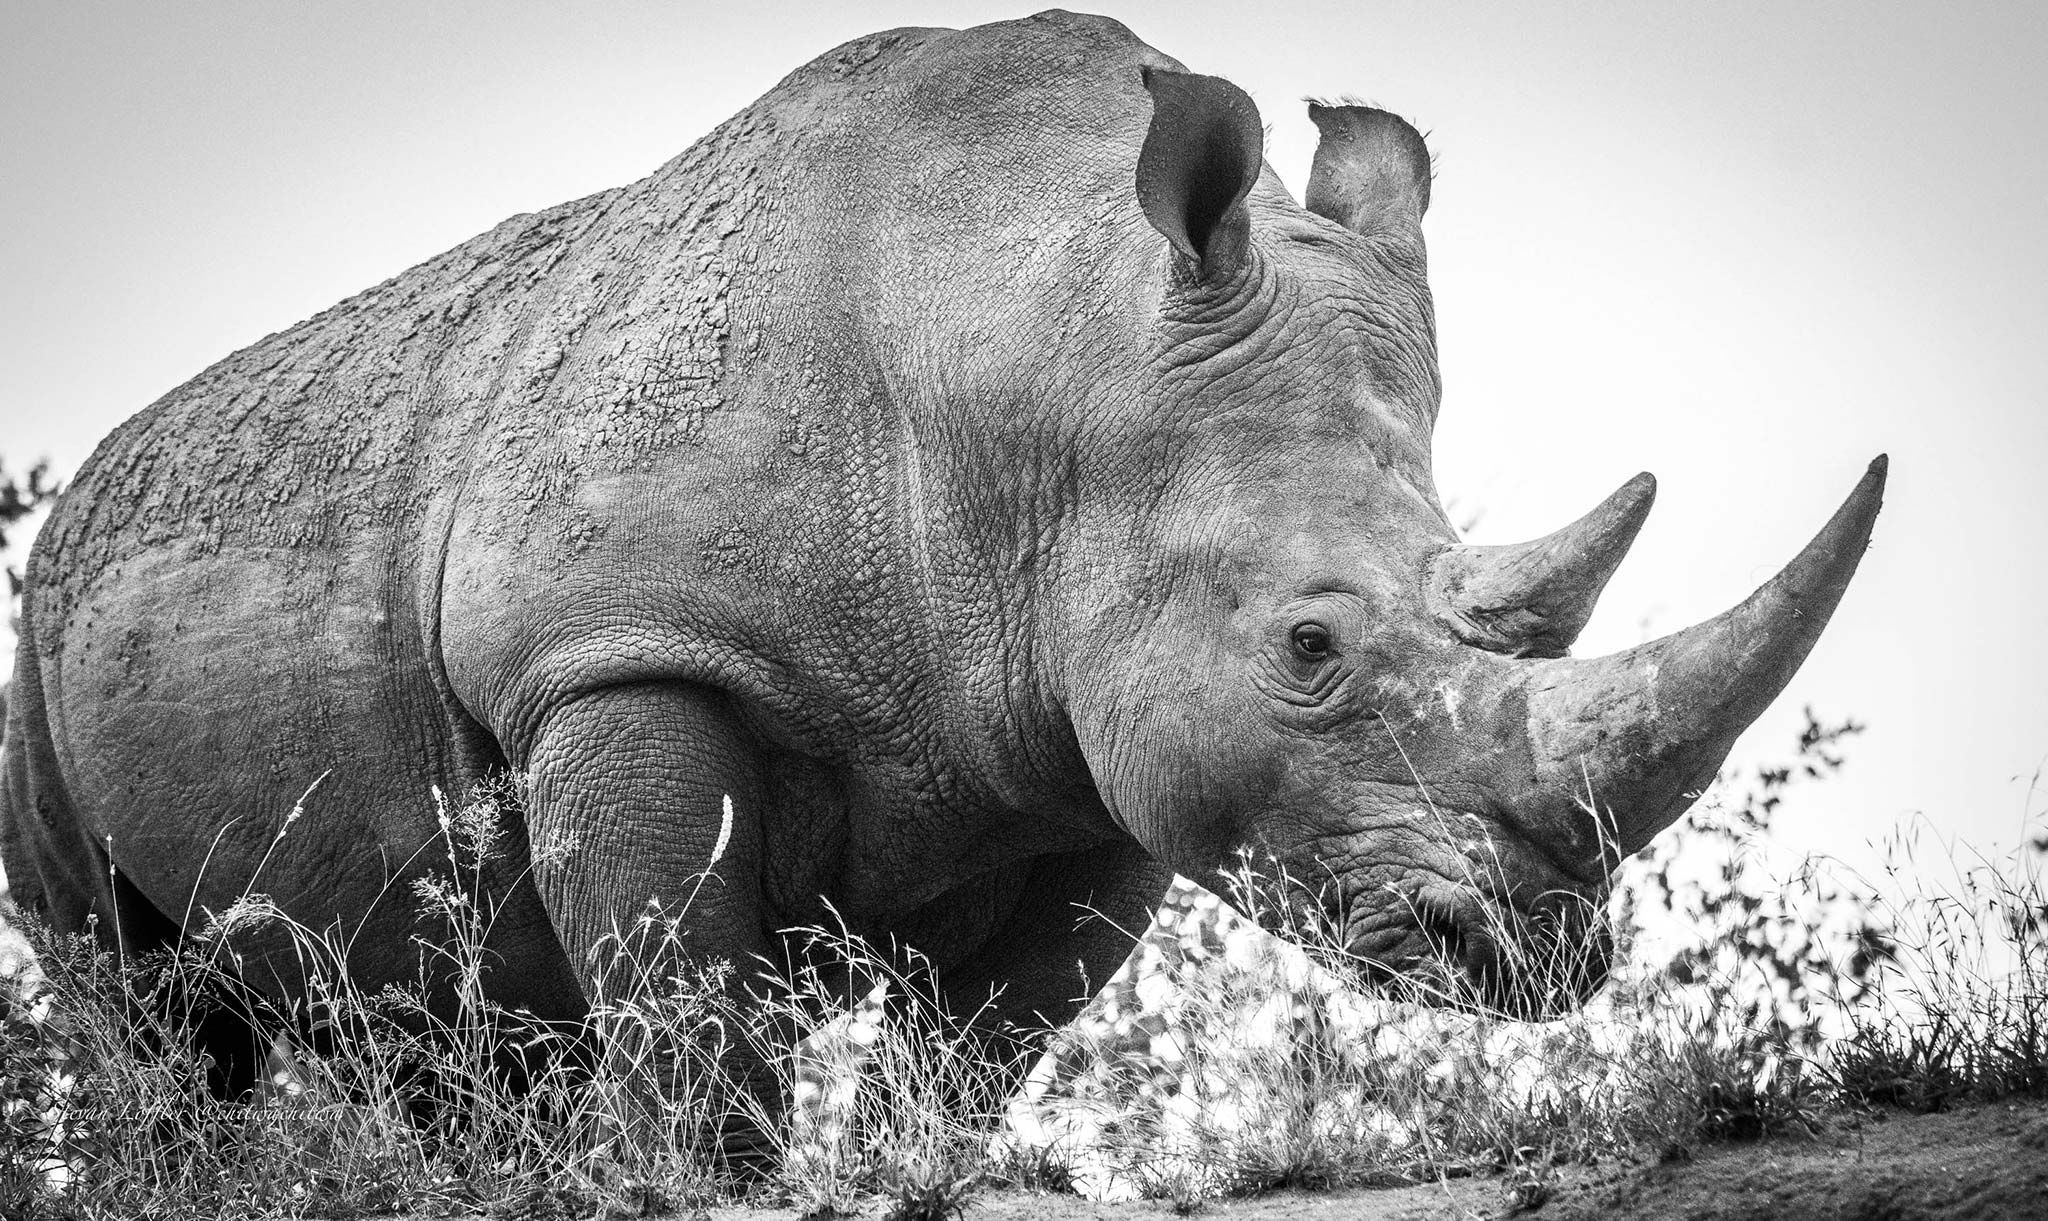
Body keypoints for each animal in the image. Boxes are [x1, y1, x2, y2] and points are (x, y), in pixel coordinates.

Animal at [1, 9, 1881, 1073]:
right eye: (1309, 646)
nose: (1539, 946)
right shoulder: (616, 658)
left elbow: (972, 1065)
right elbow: (691, 1041)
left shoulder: (1091, 747)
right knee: (140, 1012)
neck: (1046, 355)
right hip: (38, 634)